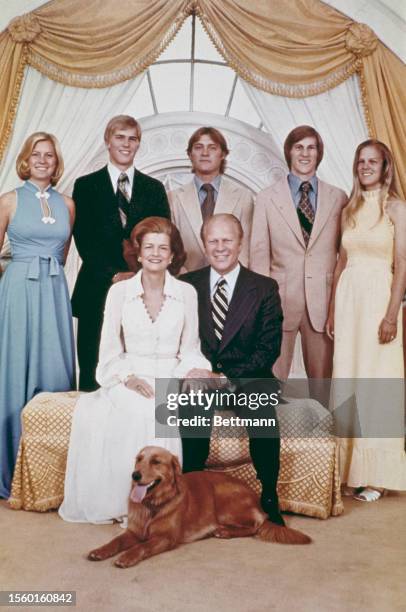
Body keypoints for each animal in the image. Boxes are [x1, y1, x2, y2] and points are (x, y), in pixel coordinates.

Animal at [89, 444, 310, 568]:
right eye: (139, 459)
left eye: (156, 462)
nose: (135, 475)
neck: (153, 504)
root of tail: (256, 498)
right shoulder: (134, 531)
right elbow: (115, 541)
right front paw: (100, 551)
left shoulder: (165, 538)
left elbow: (142, 546)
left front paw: (127, 557)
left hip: (222, 499)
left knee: (256, 525)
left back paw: (225, 532)